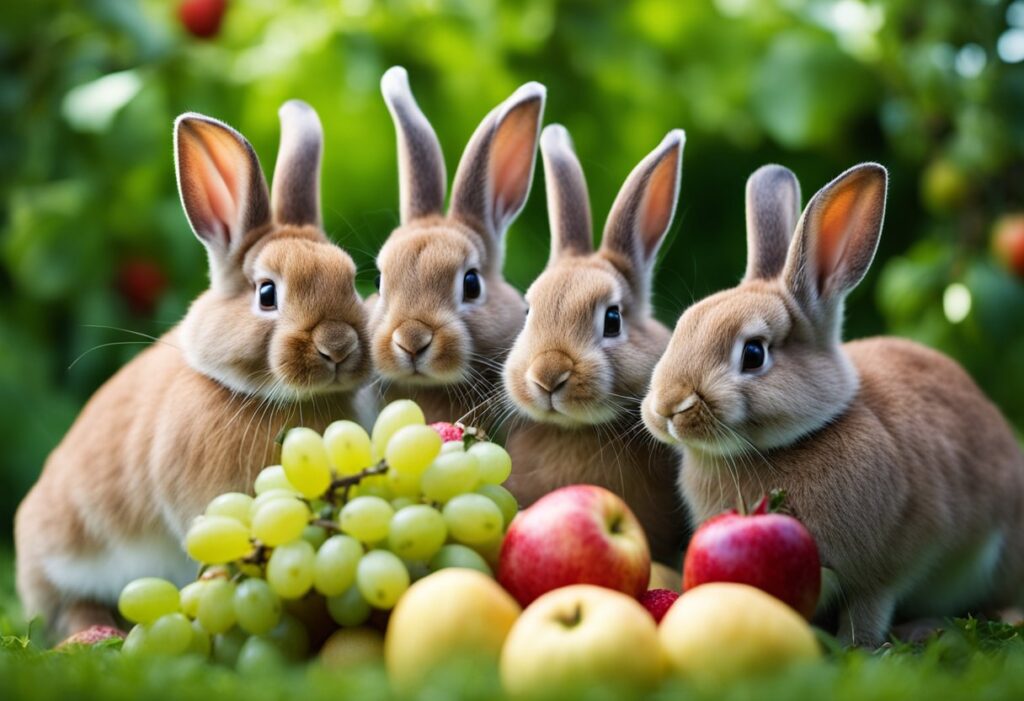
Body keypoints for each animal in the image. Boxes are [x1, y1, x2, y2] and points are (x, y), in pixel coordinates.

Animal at [641, 162, 1024, 646]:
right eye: (682, 327)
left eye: (754, 354)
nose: (668, 407)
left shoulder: (882, 571)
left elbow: (867, 610)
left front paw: (854, 646)